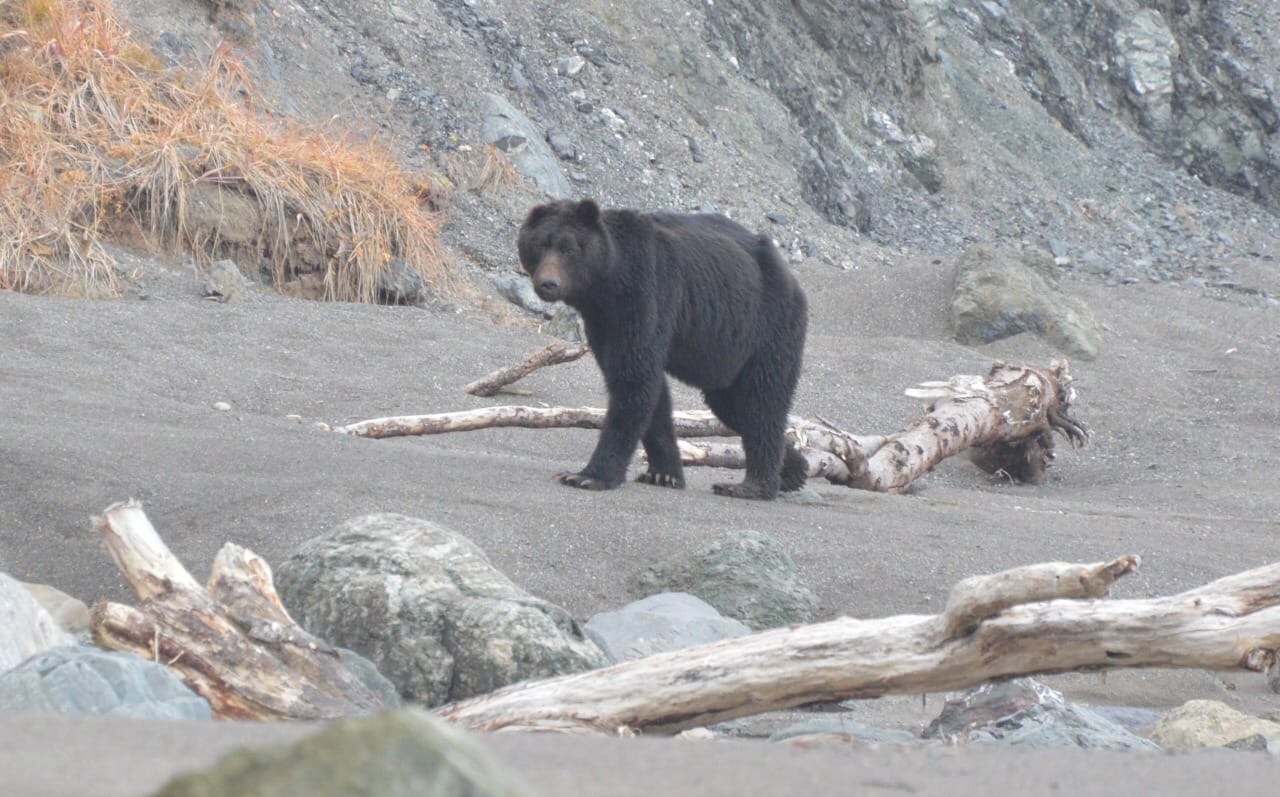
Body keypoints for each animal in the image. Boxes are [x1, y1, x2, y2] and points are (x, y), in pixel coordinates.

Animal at [514, 199, 803, 498]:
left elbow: (633, 379)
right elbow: (648, 390)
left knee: (761, 400)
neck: (607, 284)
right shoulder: (602, 323)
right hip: (727, 356)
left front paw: (587, 475)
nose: (548, 283)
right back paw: (794, 468)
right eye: (540, 244)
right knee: (732, 406)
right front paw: (664, 473)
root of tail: (791, 279)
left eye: (569, 248)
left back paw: (751, 484)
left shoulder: (646, 295)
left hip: (766, 327)